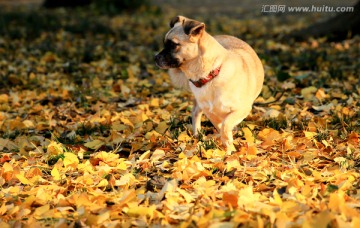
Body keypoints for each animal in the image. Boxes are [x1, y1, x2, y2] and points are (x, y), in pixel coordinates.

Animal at [155, 15, 264, 152]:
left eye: (173, 45)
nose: (155, 58)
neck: (211, 74)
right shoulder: (210, 112)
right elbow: (221, 126)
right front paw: (229, 146)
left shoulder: (242, 109)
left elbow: (225, 125)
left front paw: (229, 147)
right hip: (200, 104)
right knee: (195, 112)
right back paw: (198, 134)